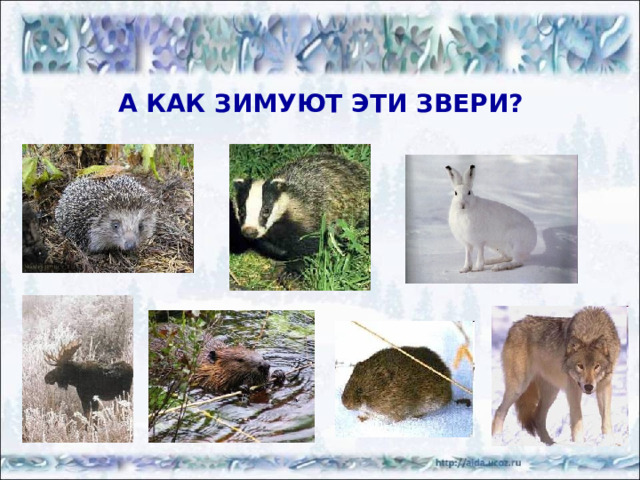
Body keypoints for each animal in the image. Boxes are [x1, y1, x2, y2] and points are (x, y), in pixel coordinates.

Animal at [492, 307, 621, 445]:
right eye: (580, 366)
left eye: (597, 366)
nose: (588, 387)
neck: (590, 331)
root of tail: (515, 324)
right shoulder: (573, 389)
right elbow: (578, 420)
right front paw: (579, 444)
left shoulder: (604, 386)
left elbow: (606, 419)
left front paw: (609, 442)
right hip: (519, 387)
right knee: (499, 411)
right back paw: (497, 439)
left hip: (551, 392)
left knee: (538, 417)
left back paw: (550, 443)